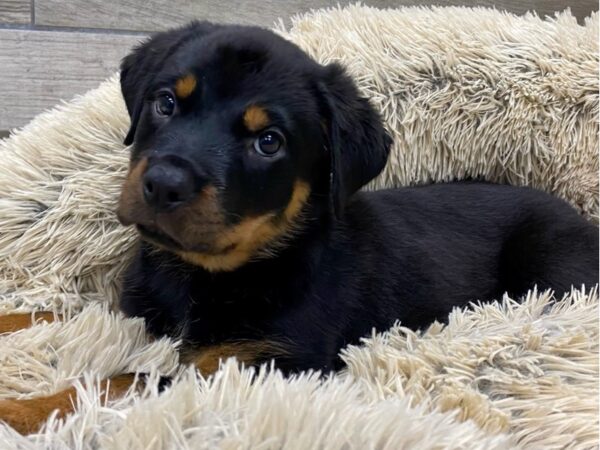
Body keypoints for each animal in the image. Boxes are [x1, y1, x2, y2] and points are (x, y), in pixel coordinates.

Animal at [1, 21, 600, 432]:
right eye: (165, 102)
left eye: (269, 142)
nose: (164, 184)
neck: (199, 274)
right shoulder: (133, 312)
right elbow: (56, 310)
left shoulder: (261, 364)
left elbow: (123, 381)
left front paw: (22, 409)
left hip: (551, 266)